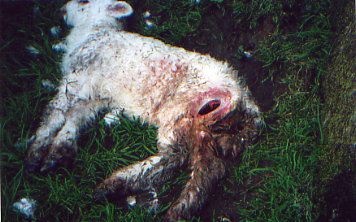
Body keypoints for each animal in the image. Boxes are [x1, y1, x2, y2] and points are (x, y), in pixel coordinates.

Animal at [25, 0, 262, 221]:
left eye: (84, 2)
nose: (61, 11)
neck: (95, 31)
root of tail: (246, 102)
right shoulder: (97, 97)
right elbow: (75, 119)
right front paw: (59, 150)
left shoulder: (76, 80)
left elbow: (54, 114)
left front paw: (36, 154)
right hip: (197, 125)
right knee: (204, 168)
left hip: (182, 110)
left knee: (174, 159)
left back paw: (117, 184)